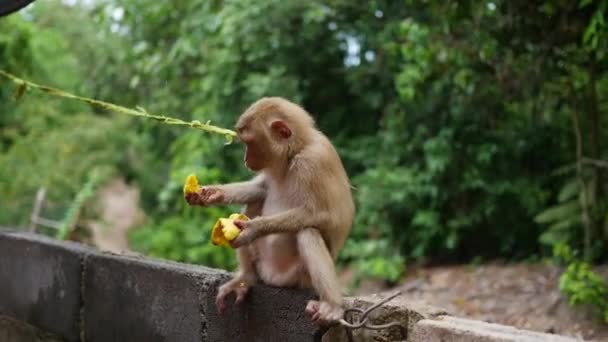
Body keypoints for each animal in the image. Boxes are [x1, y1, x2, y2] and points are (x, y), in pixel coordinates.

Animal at [186, 95, 356, 324]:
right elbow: (261, 188)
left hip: (297, 277)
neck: (293, 153)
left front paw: (252, 229)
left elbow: (323, 214)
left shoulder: (313, 161)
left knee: (308, 233)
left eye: (249, 143)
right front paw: (210, 194)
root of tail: (272, 277)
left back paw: (332, 306)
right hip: (263, 264)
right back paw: (246, 277)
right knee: (254, 203)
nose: (246, 159)